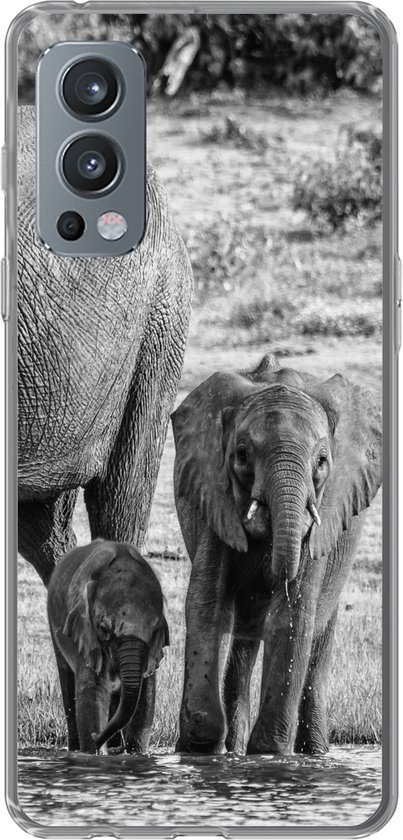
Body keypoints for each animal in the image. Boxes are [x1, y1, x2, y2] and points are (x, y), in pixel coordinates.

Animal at [47, 539, 169, 754]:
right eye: (104, 629)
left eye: (155, 631)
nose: (96, 736)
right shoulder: (87, 635)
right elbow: (93, 691)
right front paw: (95, 752)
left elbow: (146, 695)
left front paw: (136, 754)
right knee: (67, 679)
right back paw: (77, 748)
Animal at [171, 353, 382, 755]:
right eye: (241, 455)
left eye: (322, 461)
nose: (276, 575)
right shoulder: (215, 496)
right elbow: (208, 604)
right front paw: (200, 747)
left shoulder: (323, 514)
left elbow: (291, 616)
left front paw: (269, 752)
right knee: (240, 639)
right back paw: (233, 750)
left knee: (317, 636)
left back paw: (315, 754)